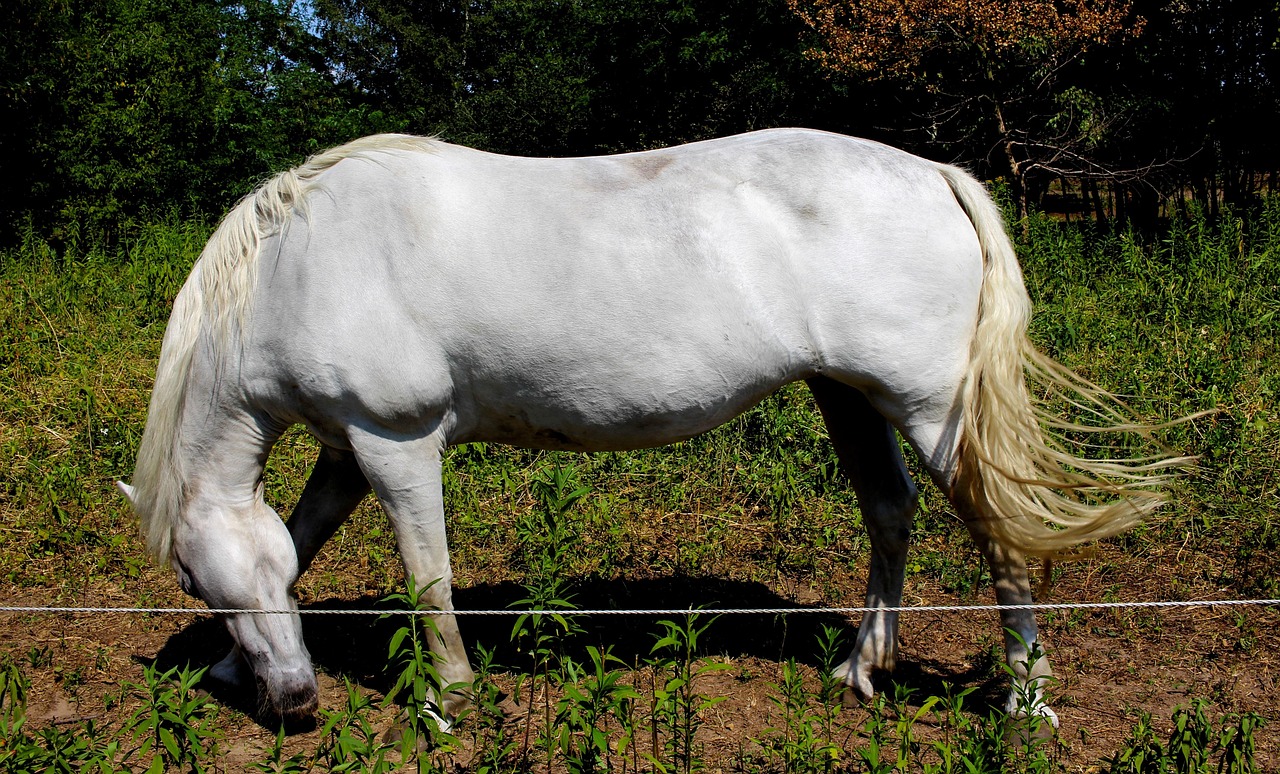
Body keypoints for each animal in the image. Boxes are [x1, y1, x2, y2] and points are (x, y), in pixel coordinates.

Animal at [117, 128, 1184, 728]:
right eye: (200, 584)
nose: (296, 703)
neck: (299, 264)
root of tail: (932, 174)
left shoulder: (395, 443)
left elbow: (428, 579)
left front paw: (448, 698)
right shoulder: (345, 451)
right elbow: (301, 541)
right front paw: (228, 665)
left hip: (930, 409)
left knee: (999, 536)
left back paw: (1026, 699)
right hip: (846, 395)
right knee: (890, 515)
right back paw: (860, 668)